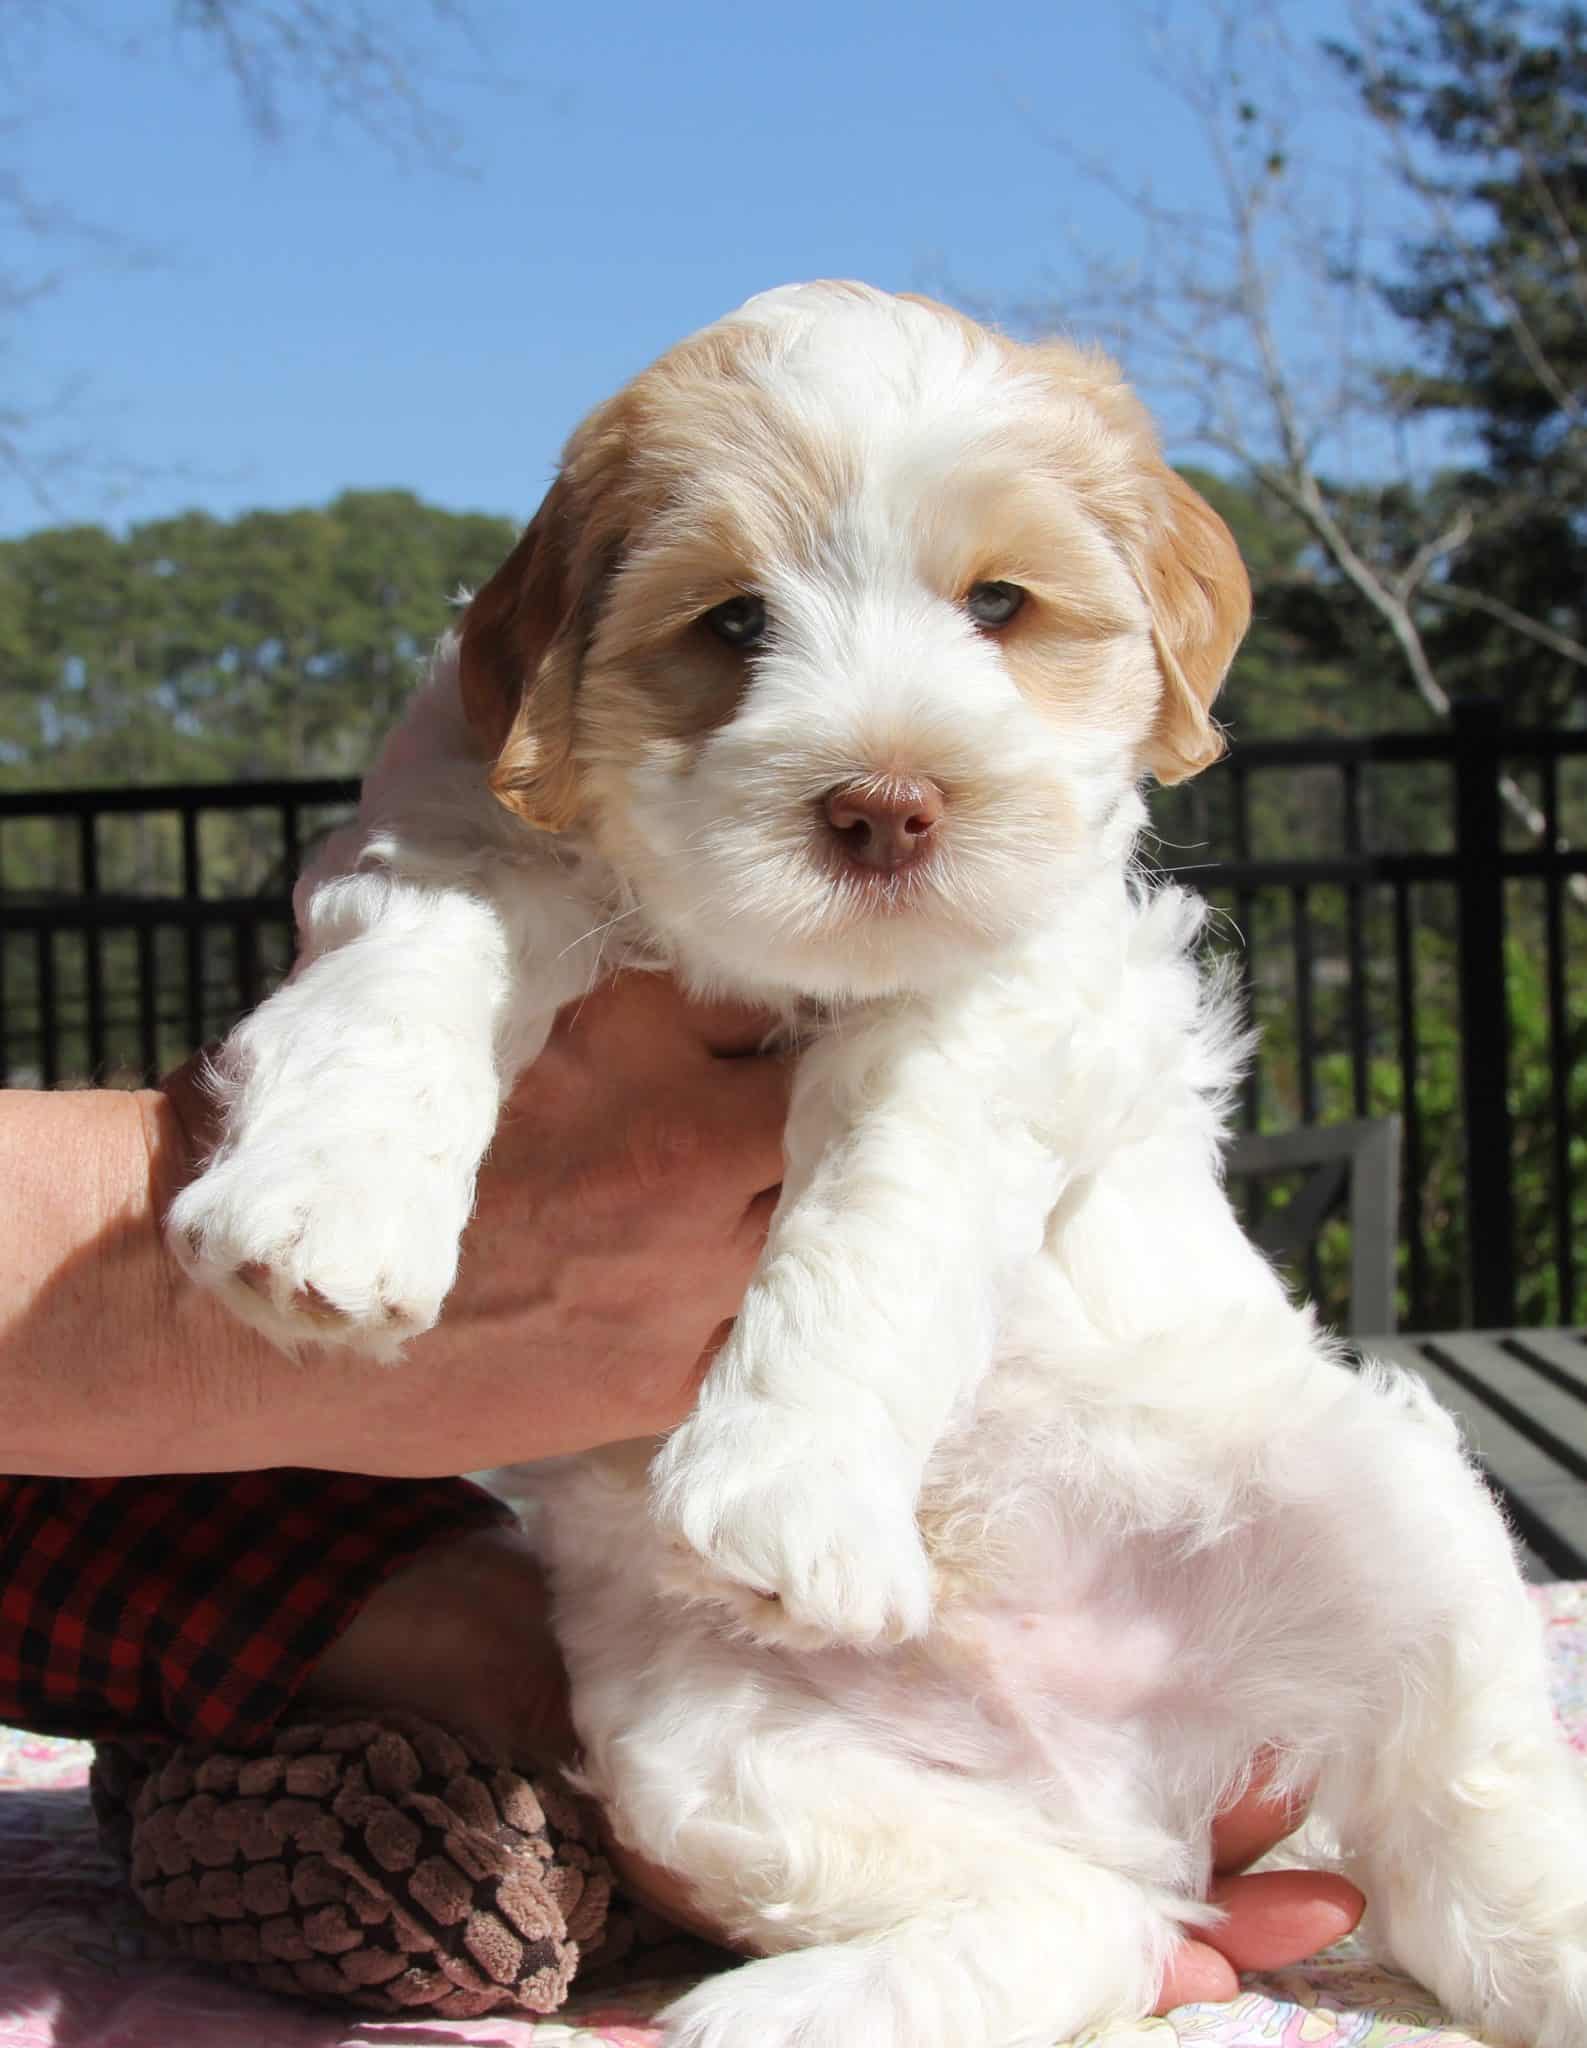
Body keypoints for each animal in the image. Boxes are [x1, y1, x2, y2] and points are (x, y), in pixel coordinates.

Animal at [170, 282, 1587, 2047]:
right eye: (729, 625)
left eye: (998, 603)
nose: (885, 807)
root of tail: (1120, 1785)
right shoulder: (454, 834)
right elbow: (399, 974)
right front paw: (315, 1211)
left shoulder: (1016, 988)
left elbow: (887, 1189)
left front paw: (788, 1482)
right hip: (709, 1745)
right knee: (1092, 1917)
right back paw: (781, 2012)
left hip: (1384, 1508)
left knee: (1464, 1824)